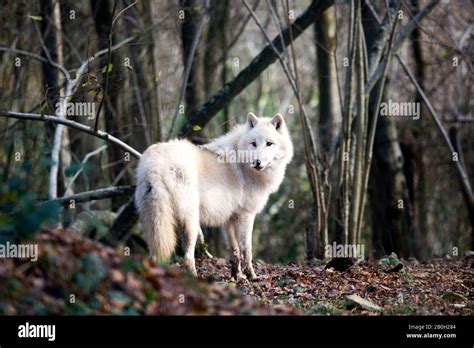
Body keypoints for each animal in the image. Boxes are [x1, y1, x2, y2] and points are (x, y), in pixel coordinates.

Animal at [133, 113, 294, 278]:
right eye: (253, 143)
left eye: (269, 143)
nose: (257, 162)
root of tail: (155, 164)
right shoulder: (246, 214)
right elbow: (246, 249)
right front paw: (252, 276)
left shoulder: (229, 218)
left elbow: (234, 250)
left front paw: (236, 276)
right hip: (191, 222)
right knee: (187, 256)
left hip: (155, 222)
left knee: (153, 255)